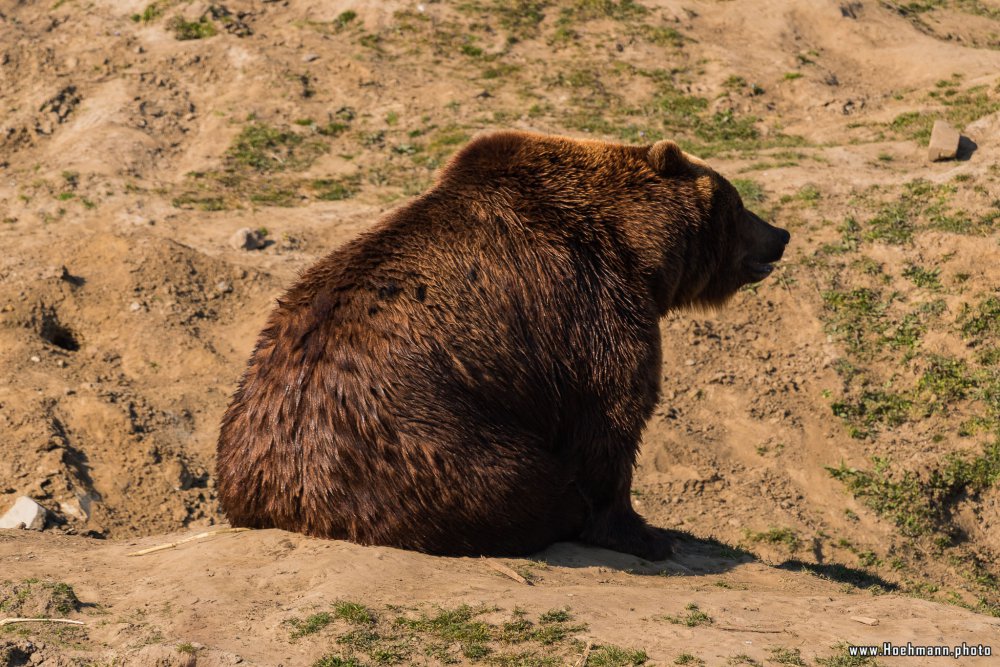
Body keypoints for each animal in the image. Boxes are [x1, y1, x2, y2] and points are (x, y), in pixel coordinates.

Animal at [217, 130, 788, 560]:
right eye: (738, 204)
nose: (780, 234)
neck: (635, 249)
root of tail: (285, 500)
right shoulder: (590, 306)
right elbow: (610, 418)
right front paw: (645, 534)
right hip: (430, 443)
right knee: (514, 479)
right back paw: (563, 508)